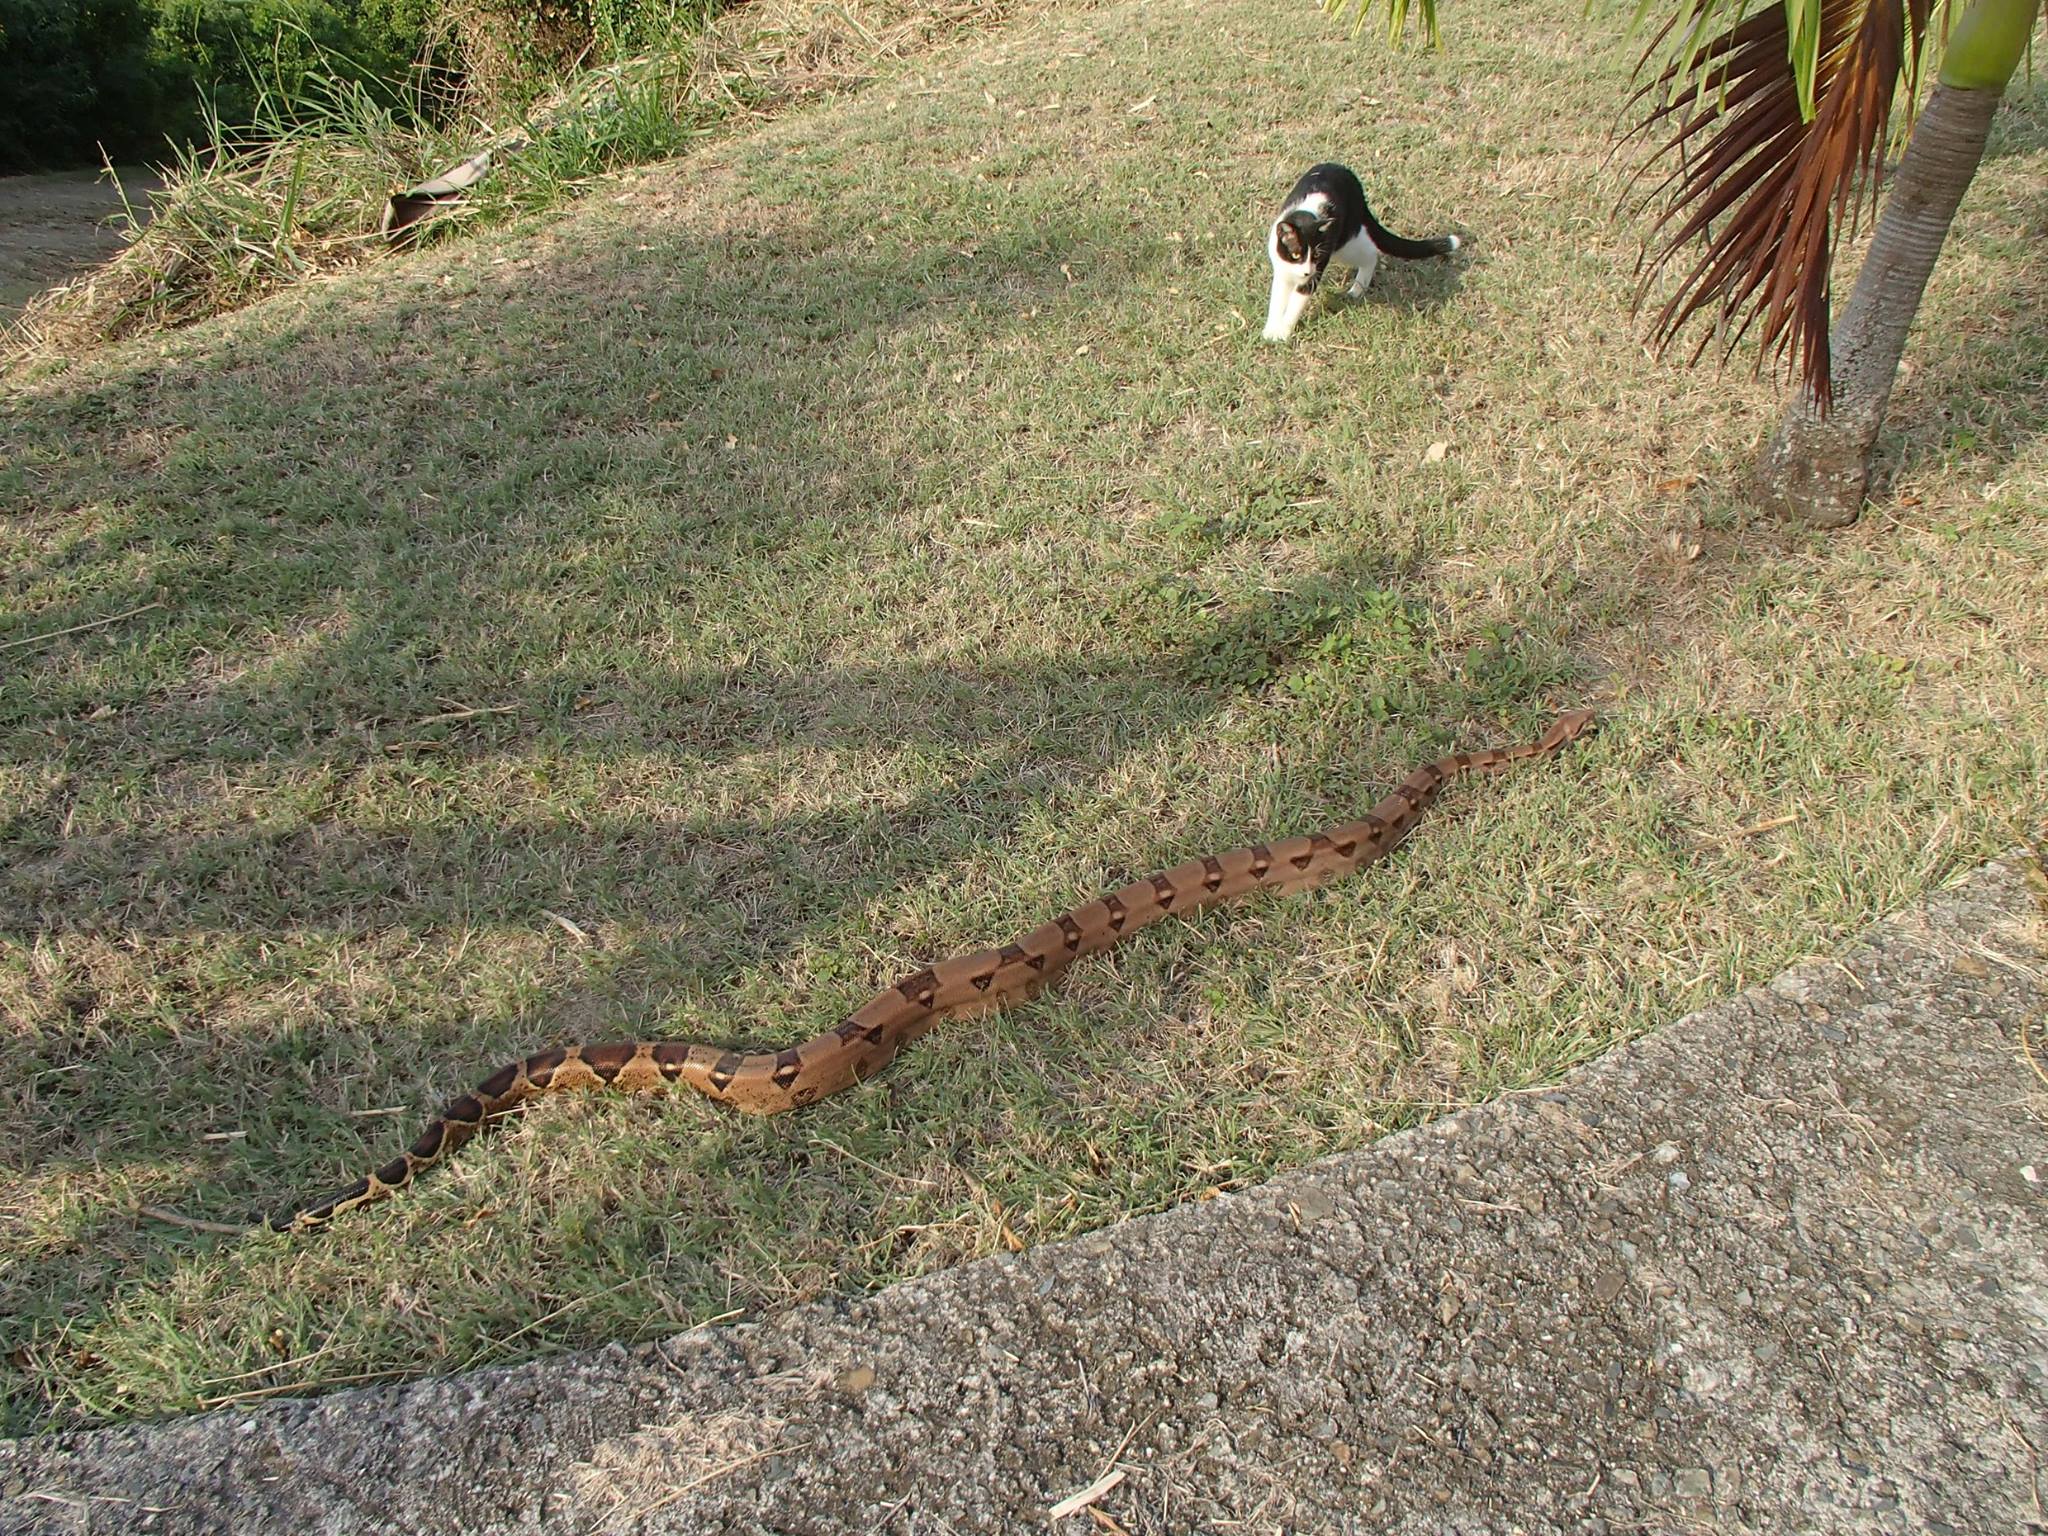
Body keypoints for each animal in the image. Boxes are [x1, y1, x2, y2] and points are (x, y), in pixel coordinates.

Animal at [1253, 163, 1466, 342]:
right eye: (1296, 255)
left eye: (1316, 256)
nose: (1306, 272)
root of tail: (1351, 179)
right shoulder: (1282, 270)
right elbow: (1277, 300)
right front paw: (1271, 329)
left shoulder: (1315, 270)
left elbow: (1295, 304)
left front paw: (1282, 333)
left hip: (1344, 243)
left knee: (1371, 254)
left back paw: (1357, 289)